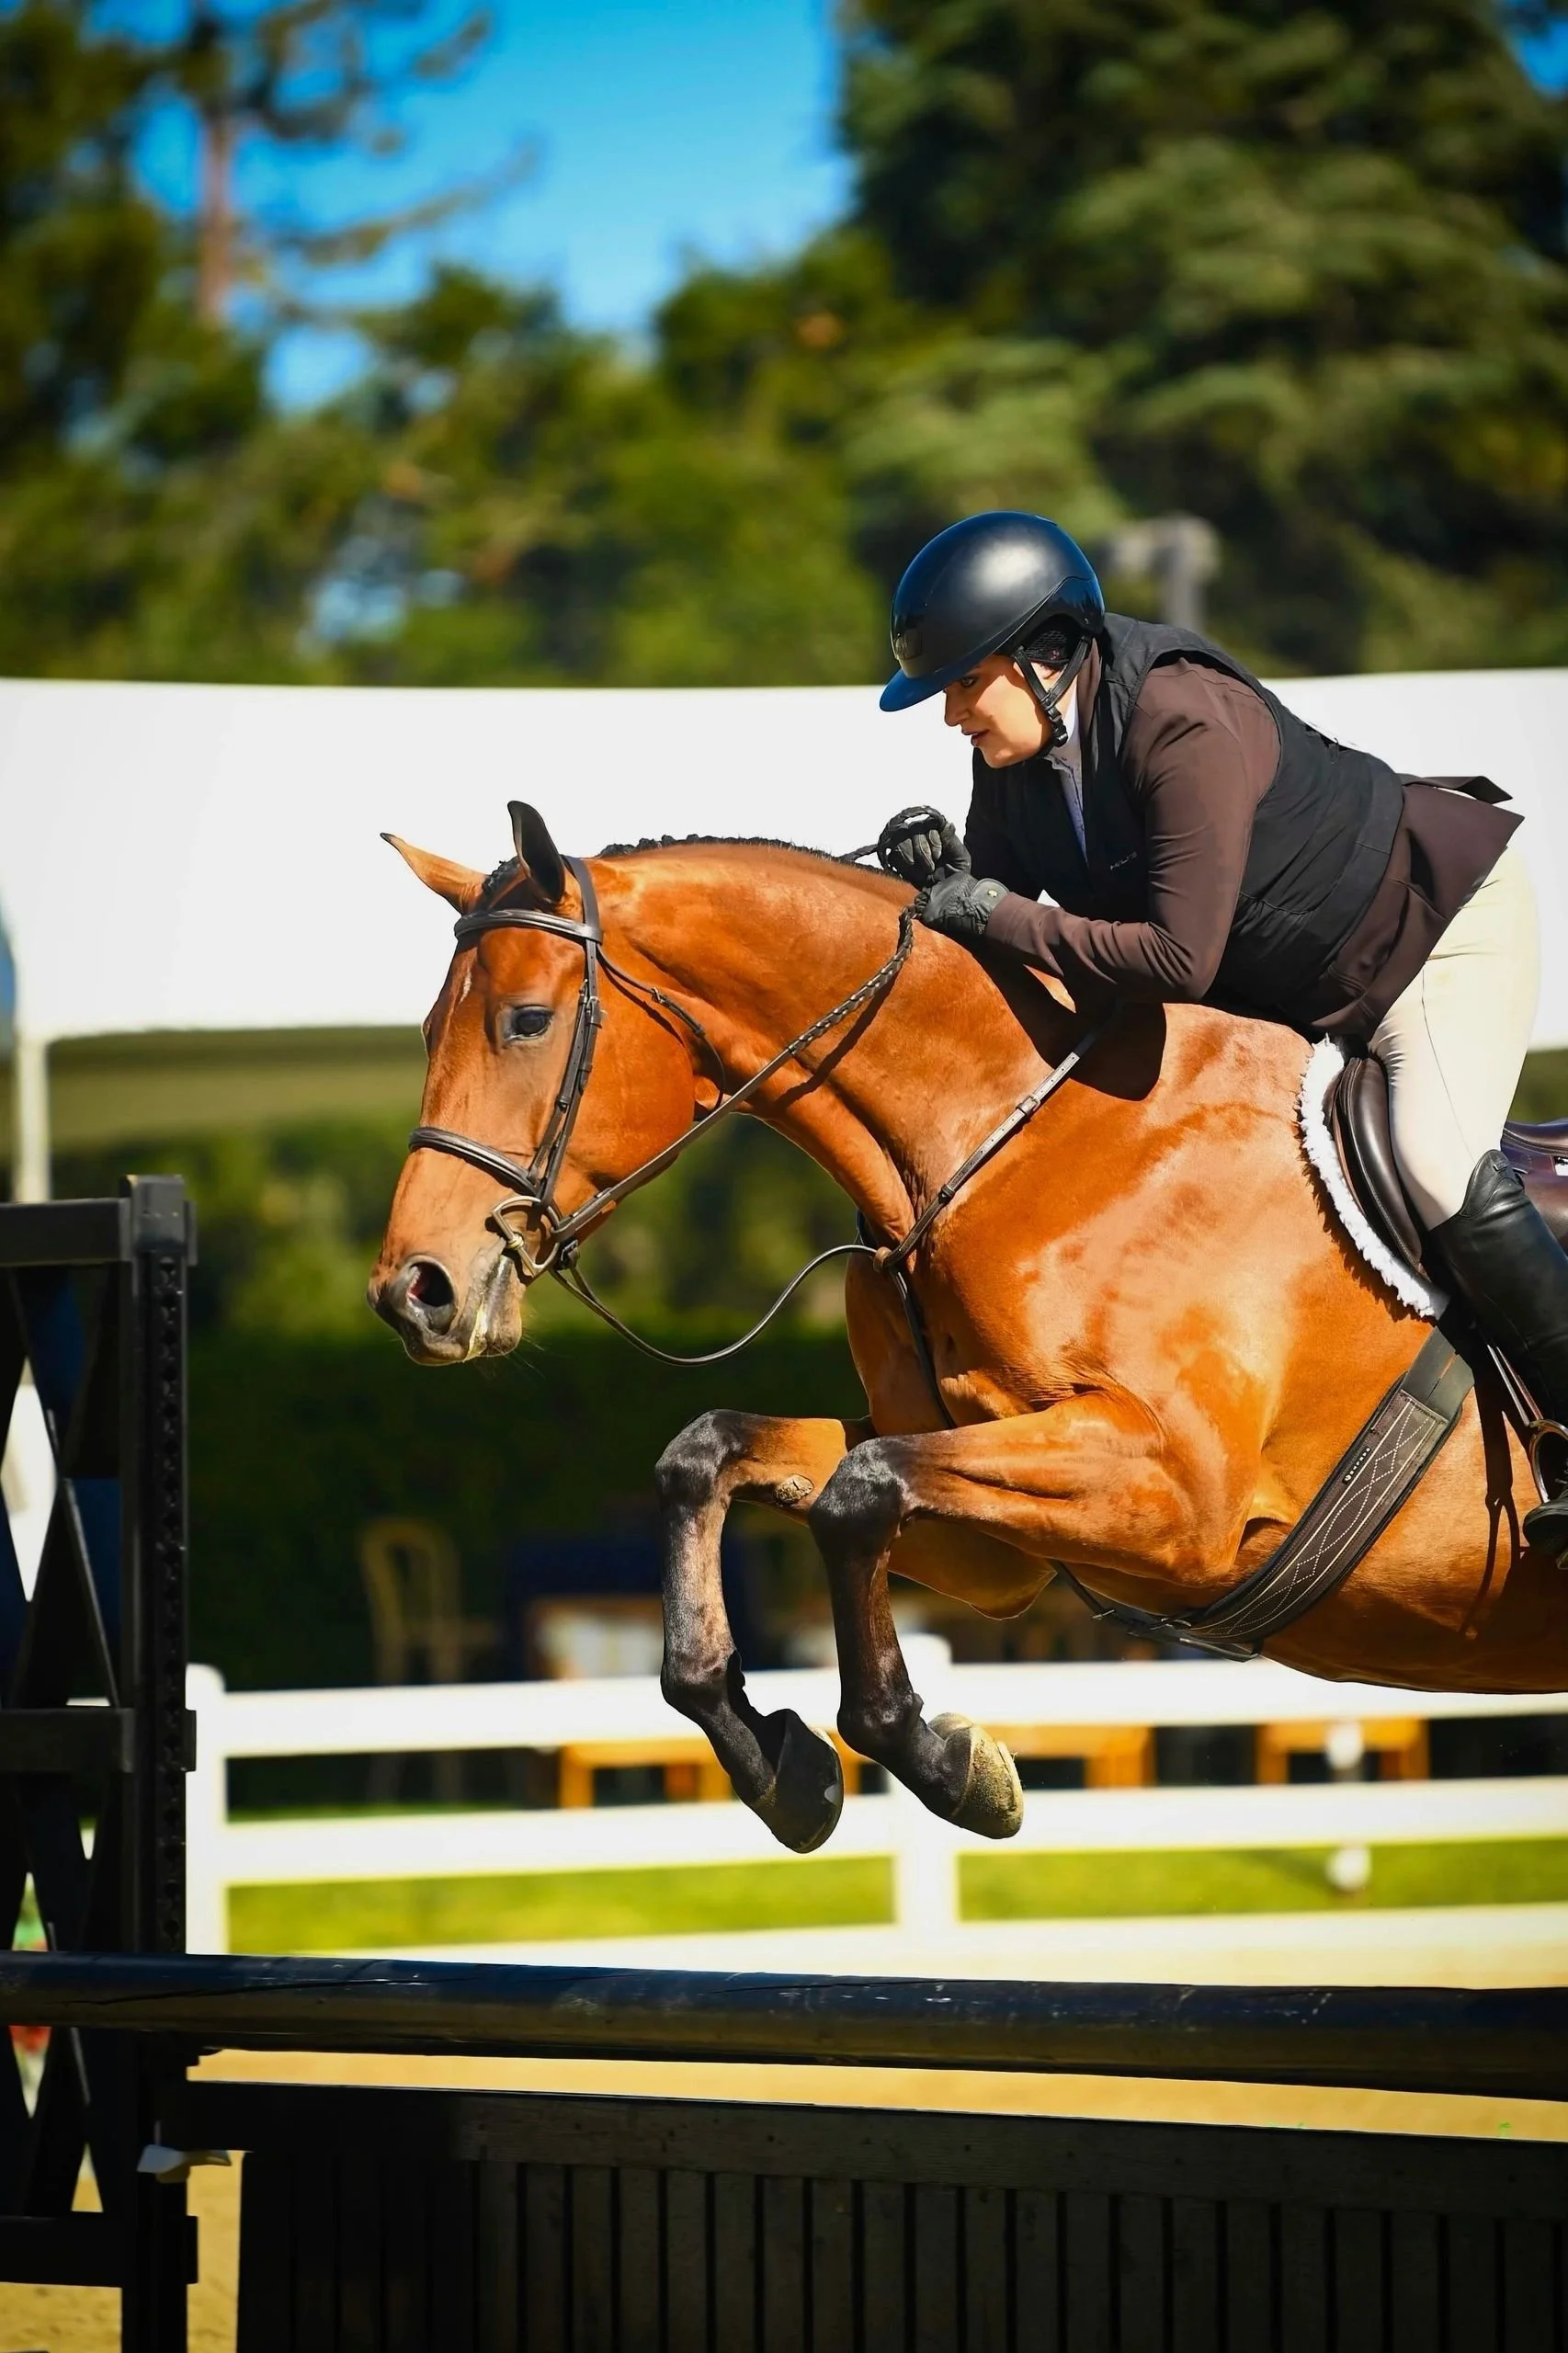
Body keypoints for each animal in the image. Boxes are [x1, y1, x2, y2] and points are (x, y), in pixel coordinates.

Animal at [369, 804, 1568, 1858]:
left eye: (526, 1021)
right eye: (426, 1030)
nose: (414, 1291)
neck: (1008, 1136)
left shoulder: (1180, 1499)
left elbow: (857, 1494)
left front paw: (948, 1765)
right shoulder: (994, 1539)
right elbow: (712, 1458)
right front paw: (780, 1767)